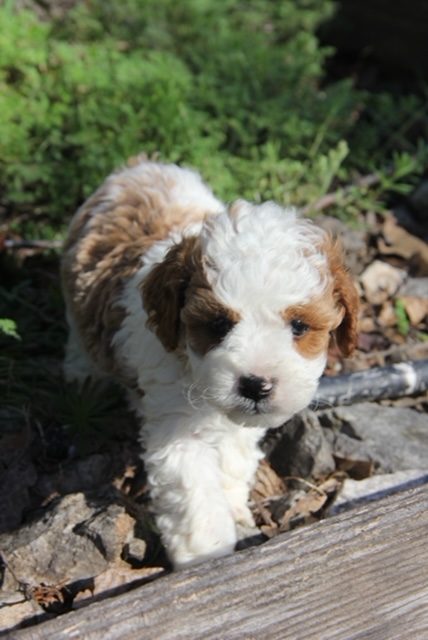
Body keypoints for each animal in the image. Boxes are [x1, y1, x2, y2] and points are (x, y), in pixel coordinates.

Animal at [61, 156, 359, 568]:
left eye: (299, 326)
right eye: (218, 325)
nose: (256, 385)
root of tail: (141, 166)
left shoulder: (240, 424)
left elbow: (233, 459)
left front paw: (233, 506)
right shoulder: (176, 429)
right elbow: (195, 492)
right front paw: (206, 553)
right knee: (77, 334)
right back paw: (82, 376)